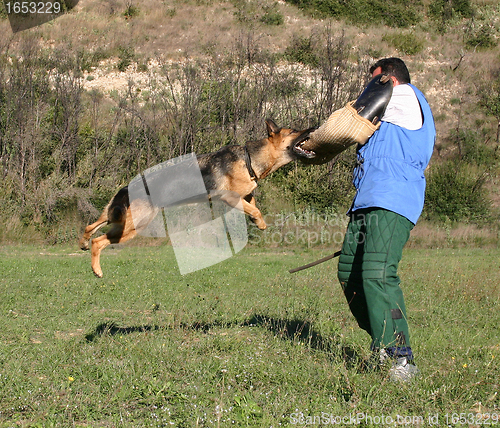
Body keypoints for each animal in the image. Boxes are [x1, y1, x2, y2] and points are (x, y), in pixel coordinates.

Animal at [79, 119, 310, 278]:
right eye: (293, 131)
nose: (312, 128)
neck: (249, 158)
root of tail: (129, 186)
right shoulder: (229, 197)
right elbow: (255, 209)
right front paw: (259, 222)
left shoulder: (246, 194)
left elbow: (252, 205)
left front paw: (257, 221)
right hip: (133, 226)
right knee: (98, 241)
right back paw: (96, 269)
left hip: (119, 220)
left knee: (92, 227)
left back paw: (83, 243)